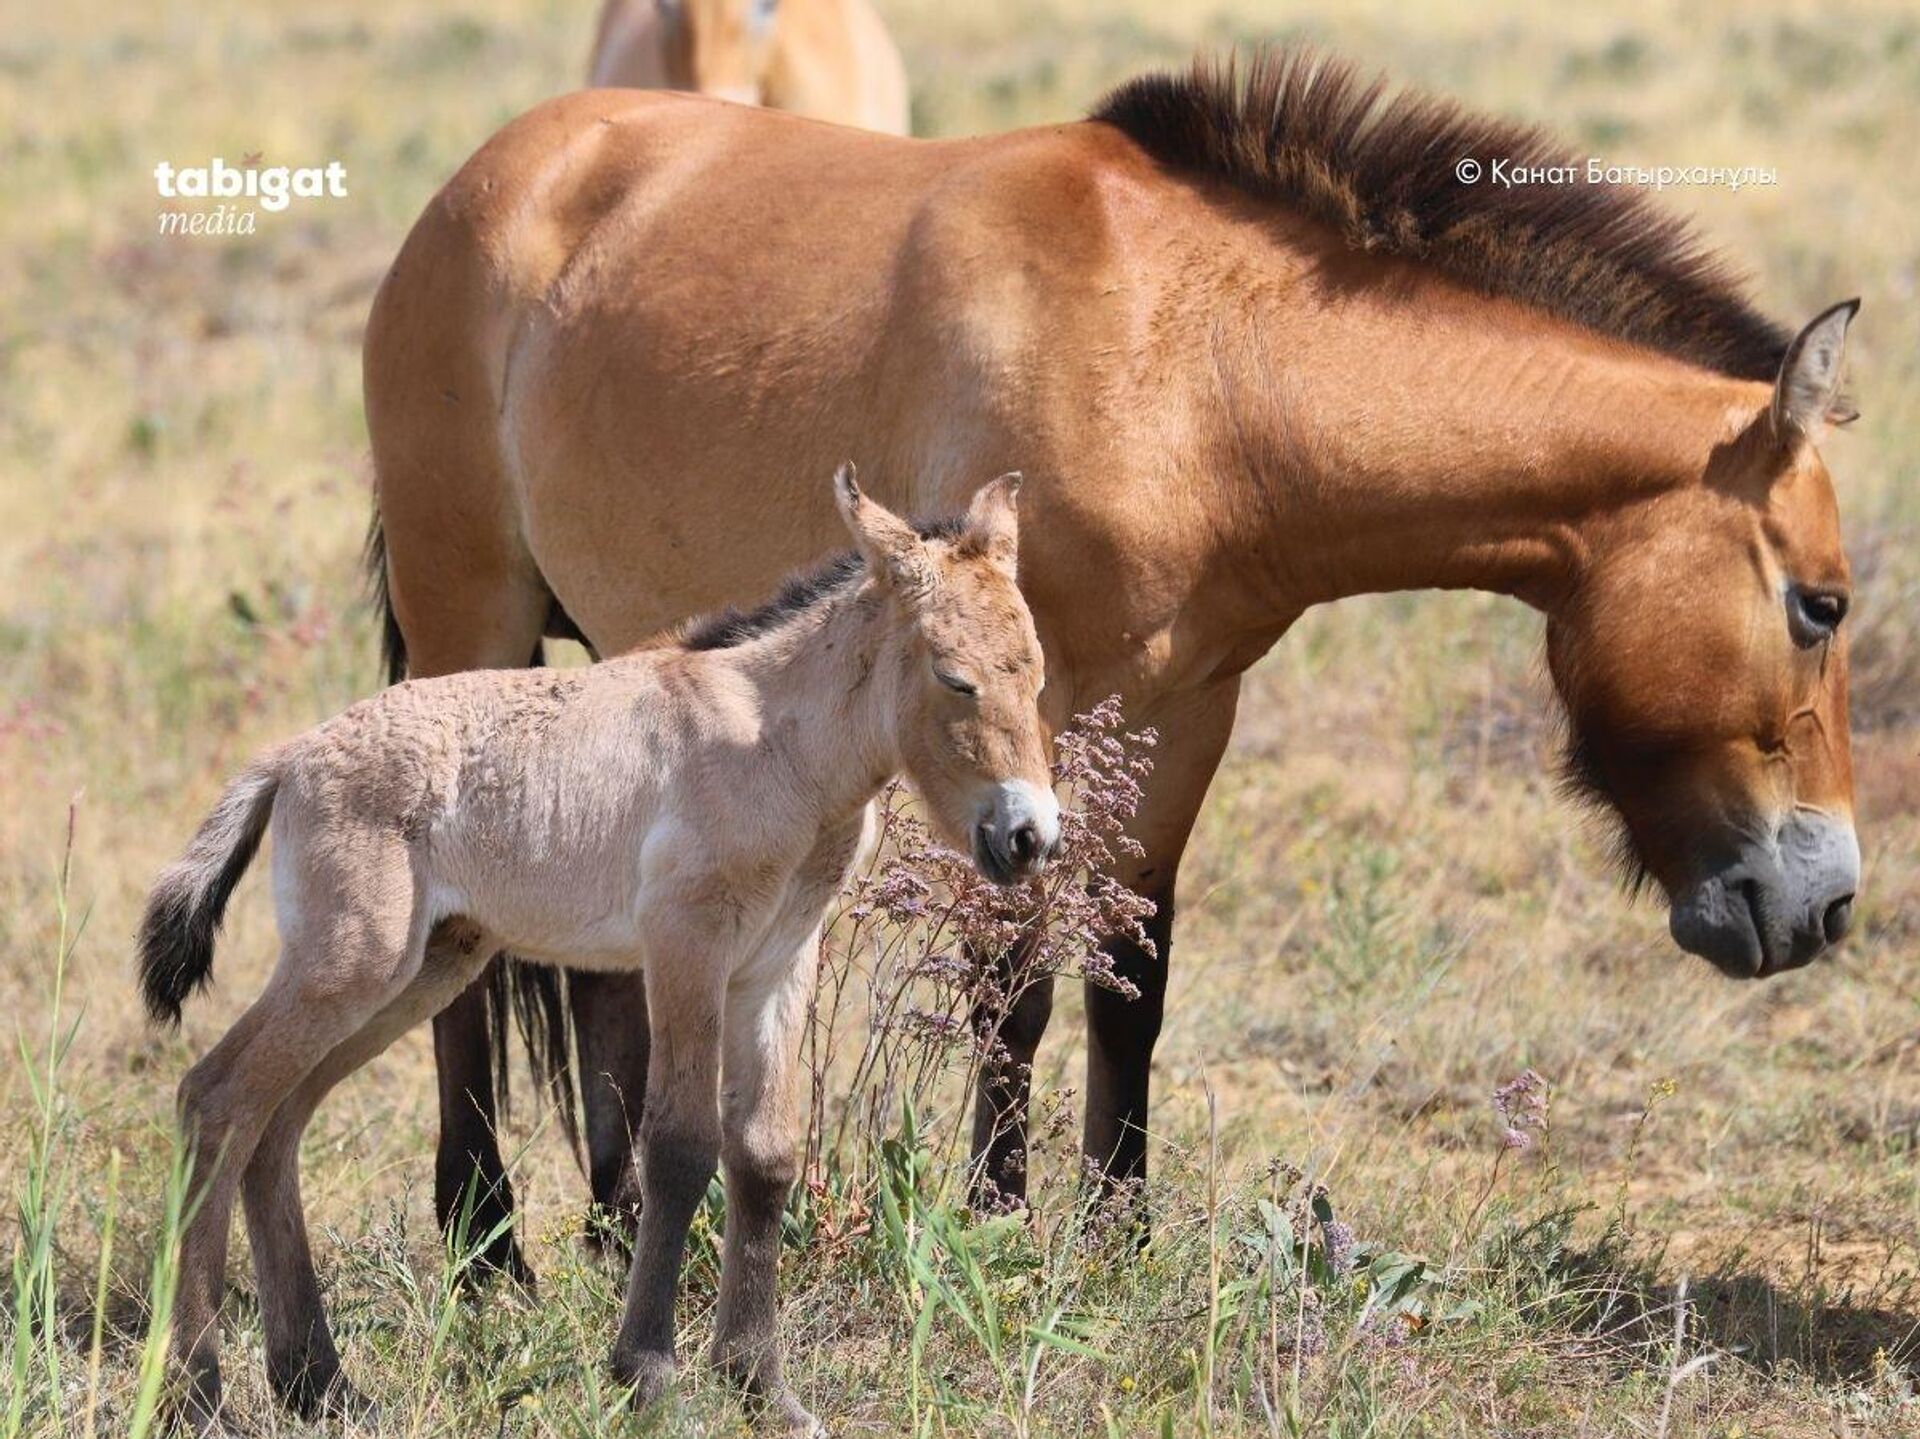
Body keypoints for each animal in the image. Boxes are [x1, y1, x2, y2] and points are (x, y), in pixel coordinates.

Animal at [138, 469, 1053, 1434]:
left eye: (1036, 671)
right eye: (955, 679)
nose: (1029, 837)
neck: (775, 738)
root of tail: (290, 757)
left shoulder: (777, 959)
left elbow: (765, 1153)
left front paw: (761, 1385)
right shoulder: (686, 940)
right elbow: (682, 1144)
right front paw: (648, 1372)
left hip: (422, 970)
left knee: (272, 1125)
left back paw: (317, 1383)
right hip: (348, 965)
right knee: (216, 1099)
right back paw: (196, 1394)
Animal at [362, 48, 1864, 1271]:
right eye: (1823, 605)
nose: (1827, 902)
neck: (1199, 367)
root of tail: (483, 183)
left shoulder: (1183, 712)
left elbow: (1132, 970)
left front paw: (1115, 1234)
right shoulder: (1020, 721)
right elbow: (1015, 983)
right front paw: (1000, 1224)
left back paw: (620, 1229)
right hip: (466, 626)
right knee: (468, 955)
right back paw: (490, 1249)